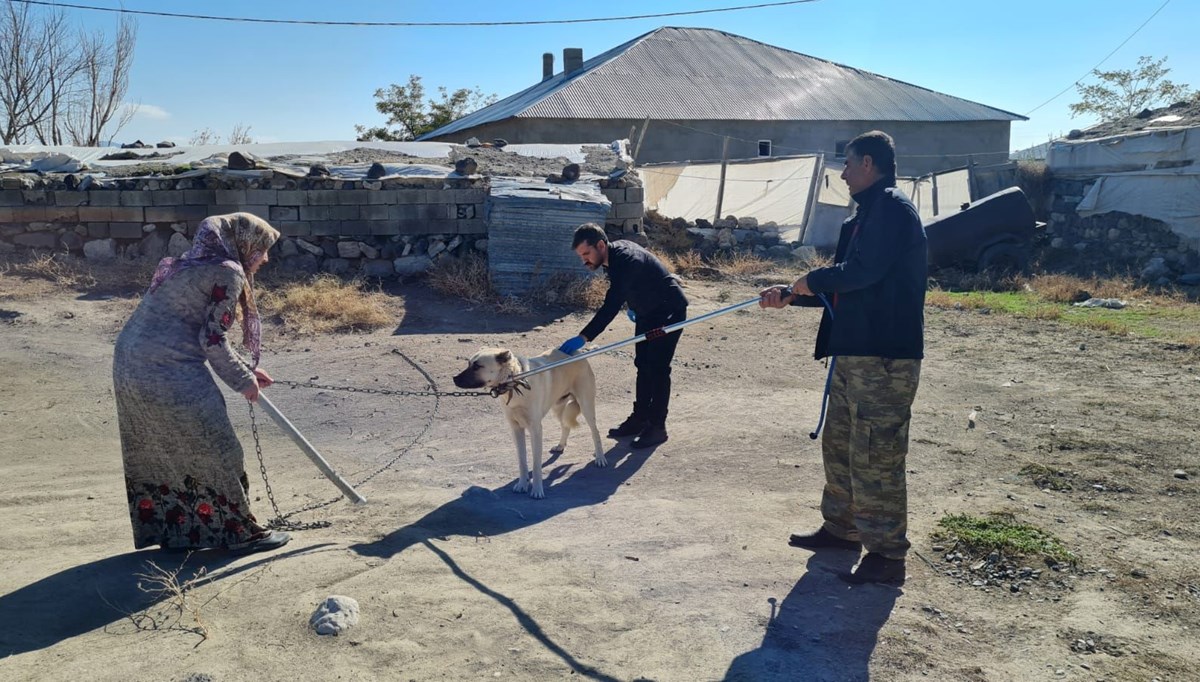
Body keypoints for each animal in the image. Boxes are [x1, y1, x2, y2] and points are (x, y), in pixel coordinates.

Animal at [456, 348, 614, 497]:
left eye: (477, 366)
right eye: (469, 363)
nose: (454, 379)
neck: (515, 383)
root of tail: (578, 352)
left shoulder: (536, 429)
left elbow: (536, 463)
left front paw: (537, 490)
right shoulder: (516, 429)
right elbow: (522, 460)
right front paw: (522, 484)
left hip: (586, 406)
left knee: (595, 432)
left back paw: (600, 458)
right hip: (558, 407)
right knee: (565, 426)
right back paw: (561, 445)